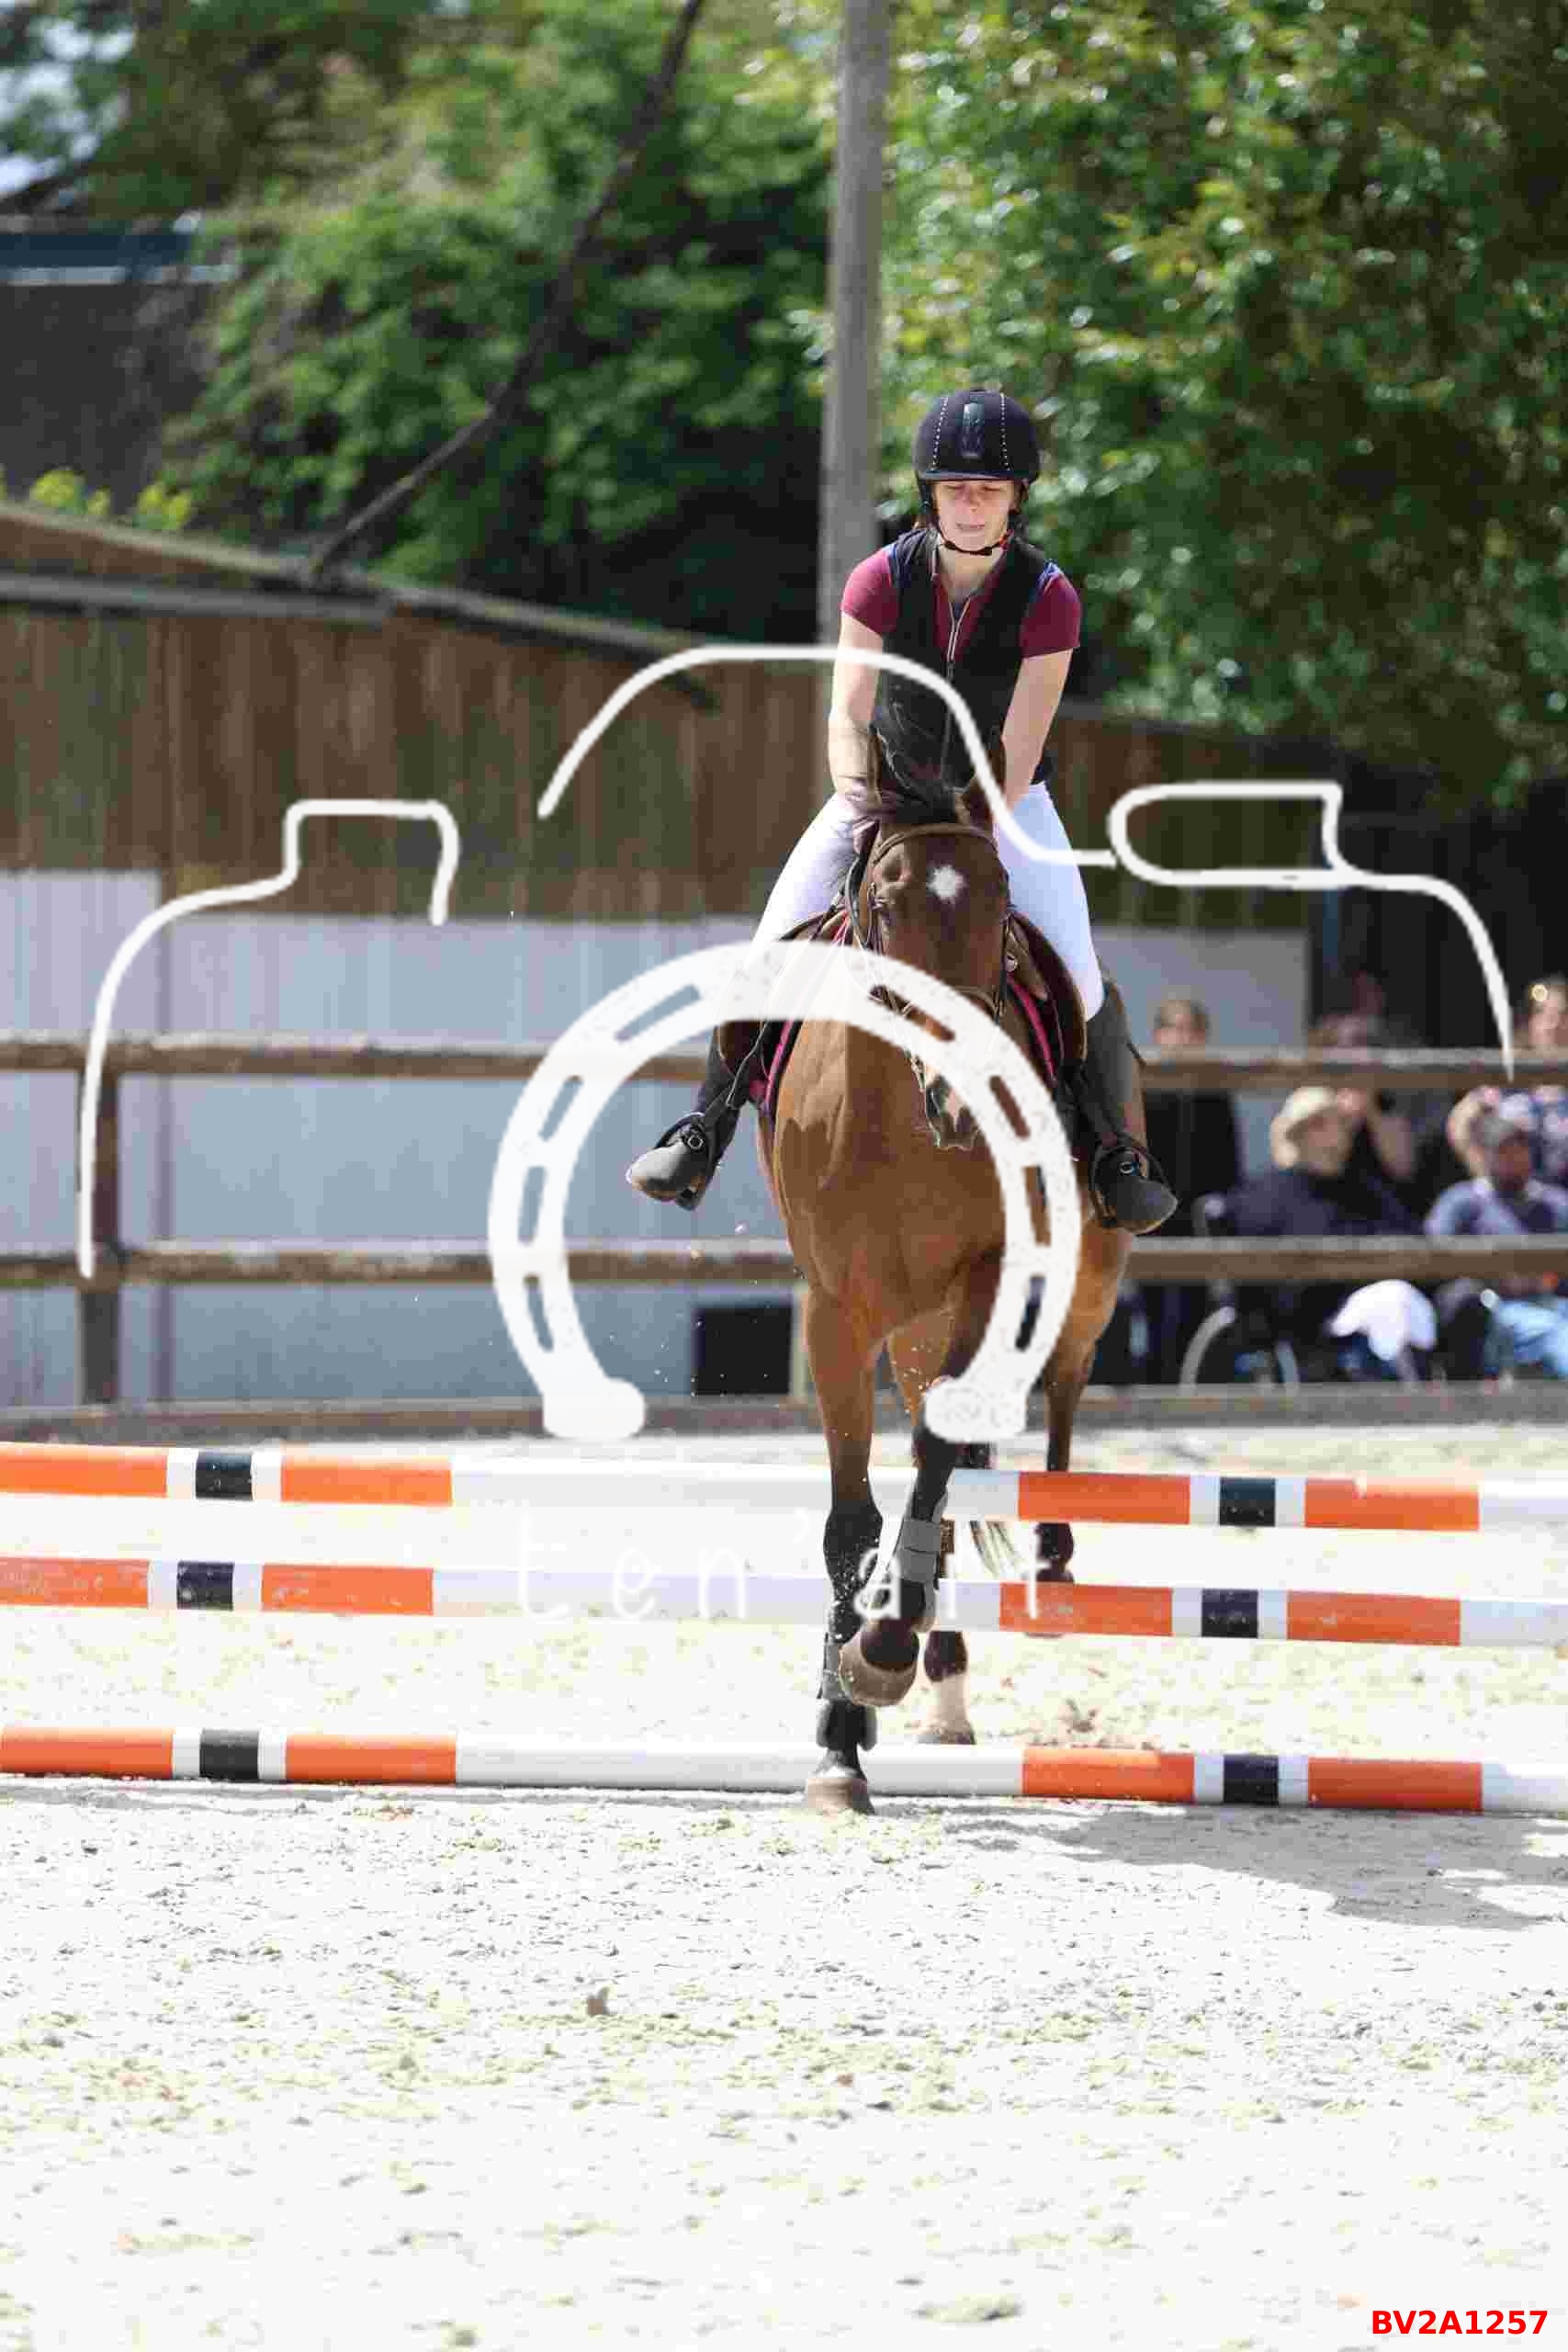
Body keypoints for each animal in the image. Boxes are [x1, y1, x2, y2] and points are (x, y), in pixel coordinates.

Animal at [756, 766, 1139, 1814]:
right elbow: (854, 1517)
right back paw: (945, 1686)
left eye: (1002, 908)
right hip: (913, 1332)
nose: (965, 1096)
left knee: (1061, 1385)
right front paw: (840, 1735)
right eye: (884, 908)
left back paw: (1050, 1555)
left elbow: (934, 1456)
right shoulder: (836, 1306)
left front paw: (880, 1651)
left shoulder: (995, 1275)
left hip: (1079, 1278)